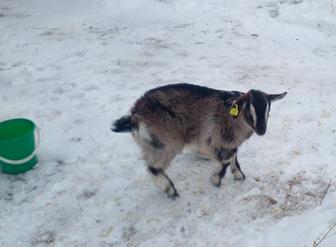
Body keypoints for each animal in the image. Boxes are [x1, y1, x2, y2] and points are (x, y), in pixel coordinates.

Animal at [112, 84, 286, 198]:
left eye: (268, 113)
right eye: (250, 113)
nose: (262, 131)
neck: (233, 117)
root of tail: (135, 115)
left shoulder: (226, 141)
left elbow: (233, 155)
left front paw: (238, 175)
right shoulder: (213, 138)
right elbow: (228, 157)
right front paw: (216, 180)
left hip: (155, 142)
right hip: (168, 141)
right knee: (153, 167)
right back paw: (170, 190)